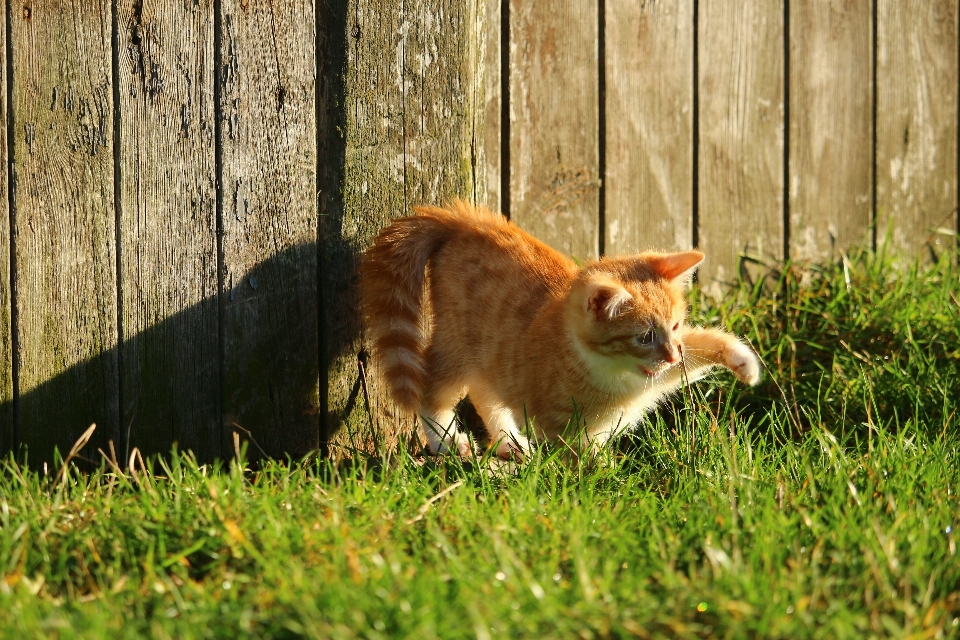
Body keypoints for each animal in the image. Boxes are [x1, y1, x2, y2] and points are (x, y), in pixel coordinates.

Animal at [360, 202, 756, 458]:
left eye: (674, 325)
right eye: (644, 337)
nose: (672, 354)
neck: (613, 375)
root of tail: (466, 220)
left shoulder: (659, 374)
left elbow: (700, 344)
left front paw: (744, 362)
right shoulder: (557, 419)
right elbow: (575, 452)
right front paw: (596, 476)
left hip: (492, 359)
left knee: (485, 393)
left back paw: (510, 442)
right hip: (458, 345)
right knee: (433, 392)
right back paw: (446, 442)